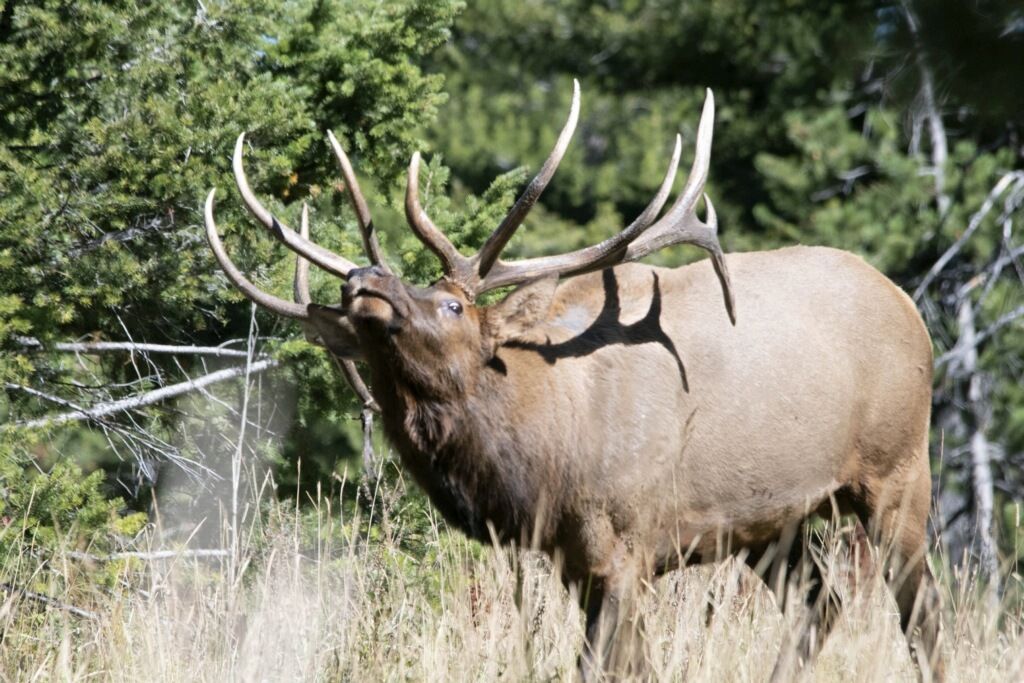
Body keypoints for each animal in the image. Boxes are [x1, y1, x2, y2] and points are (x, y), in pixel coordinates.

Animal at [202, 81, 944, 680]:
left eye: (452, 304)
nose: (363, 280)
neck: (546, 452)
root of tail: (912, 308)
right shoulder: (576, 559)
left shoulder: (629, 544)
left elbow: (607, 666)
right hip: (771, 521)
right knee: (823, 599)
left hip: (899, 469)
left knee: (921, 610)